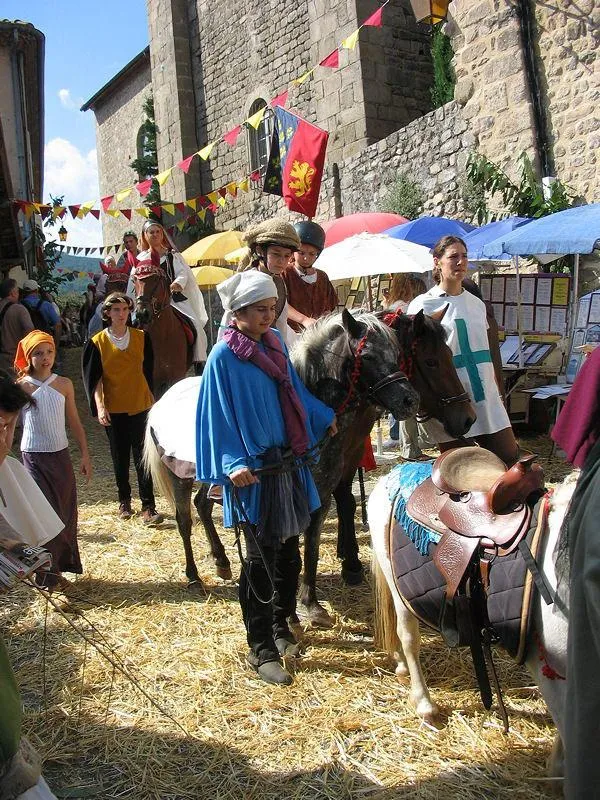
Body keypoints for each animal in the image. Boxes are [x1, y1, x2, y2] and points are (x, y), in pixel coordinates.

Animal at [132, 264, 192, 398]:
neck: (163, 336)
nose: (142, 313)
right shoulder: (153, 382)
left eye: (155, 279)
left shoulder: (176, 377)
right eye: (134, 281)